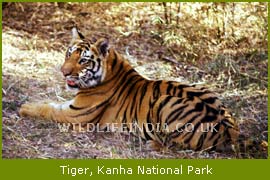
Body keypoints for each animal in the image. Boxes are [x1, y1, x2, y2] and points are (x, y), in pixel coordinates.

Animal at [19, 26, 238, 151]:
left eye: (83, 60)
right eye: (68, 54)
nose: (63, 72)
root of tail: (230, 133)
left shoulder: (75, 115)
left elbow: (48, 109)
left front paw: (24, 107)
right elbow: (50, 103)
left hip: (164, 103)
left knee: (176, 146)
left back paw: (152, 144)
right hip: (205, 89)